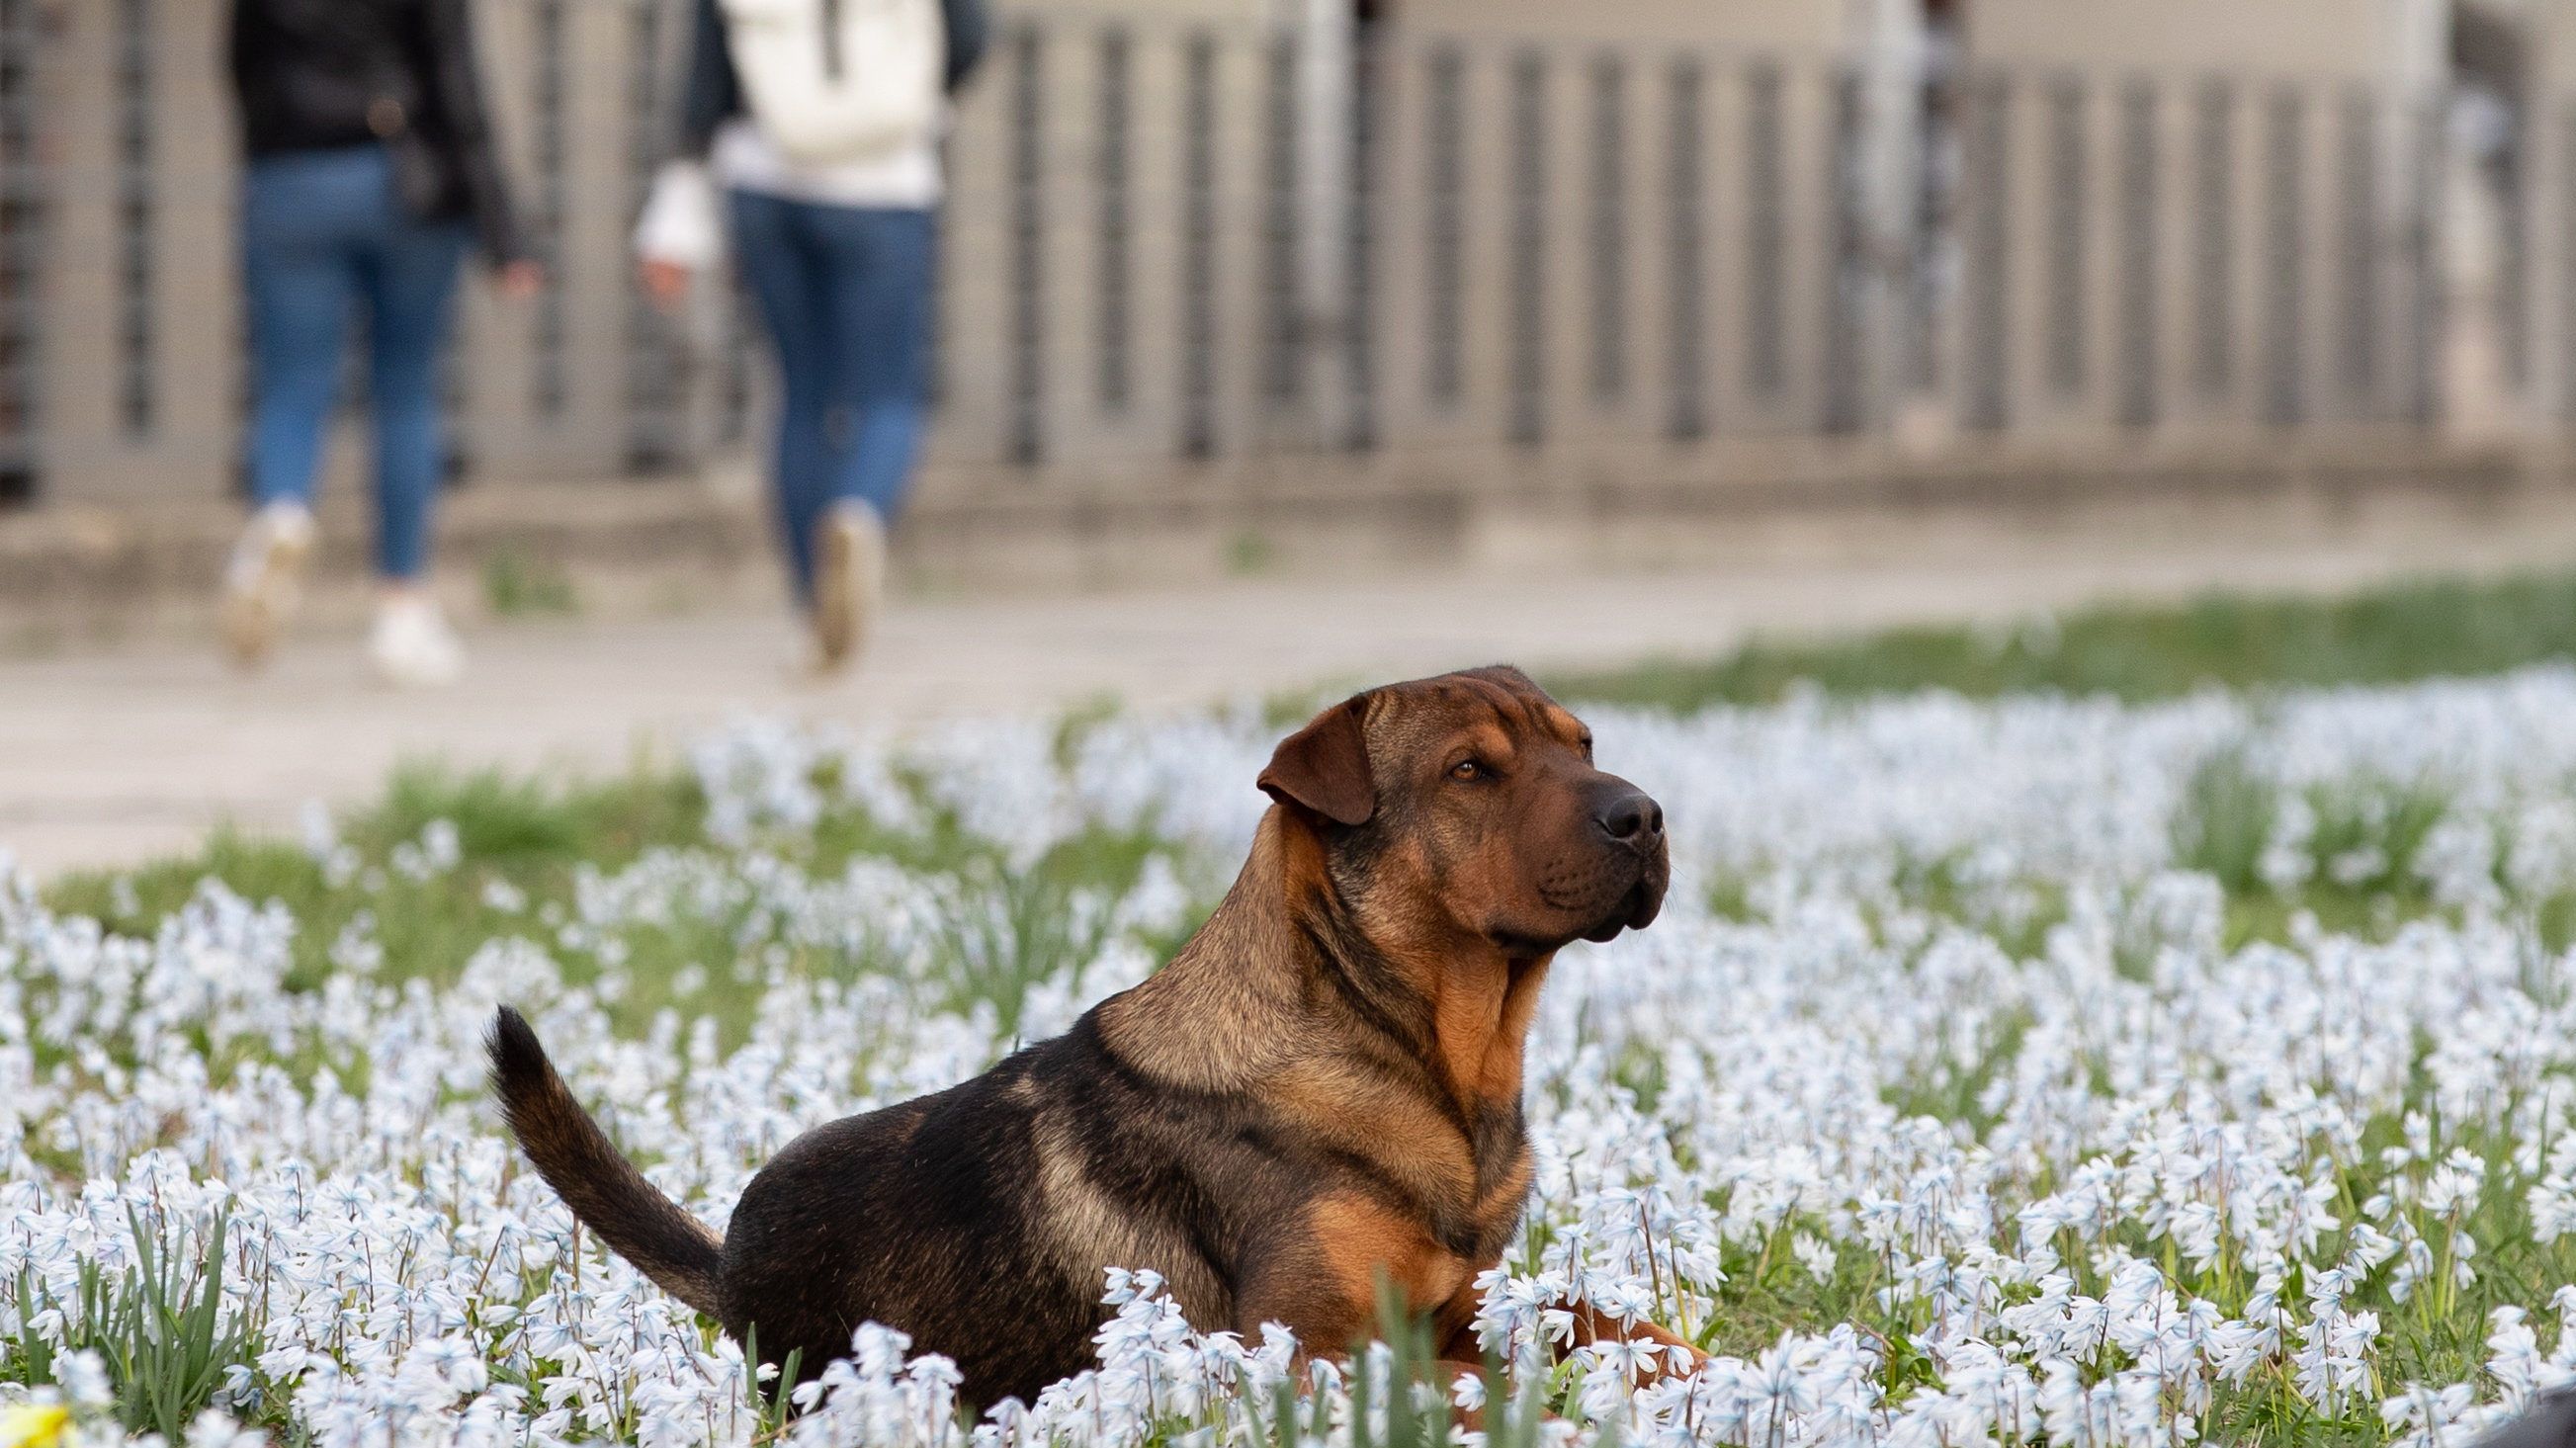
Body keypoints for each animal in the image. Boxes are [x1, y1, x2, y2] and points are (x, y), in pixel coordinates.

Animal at [486, 664, 1689, 1402]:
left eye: (1584, 742)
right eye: (1469, 771)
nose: (1642, 814)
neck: (1430, 1060)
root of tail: (730, 1263)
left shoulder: (1473, 1291)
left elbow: (1608, 1318)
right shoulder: (1304, 1342)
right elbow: (1453, 1386)